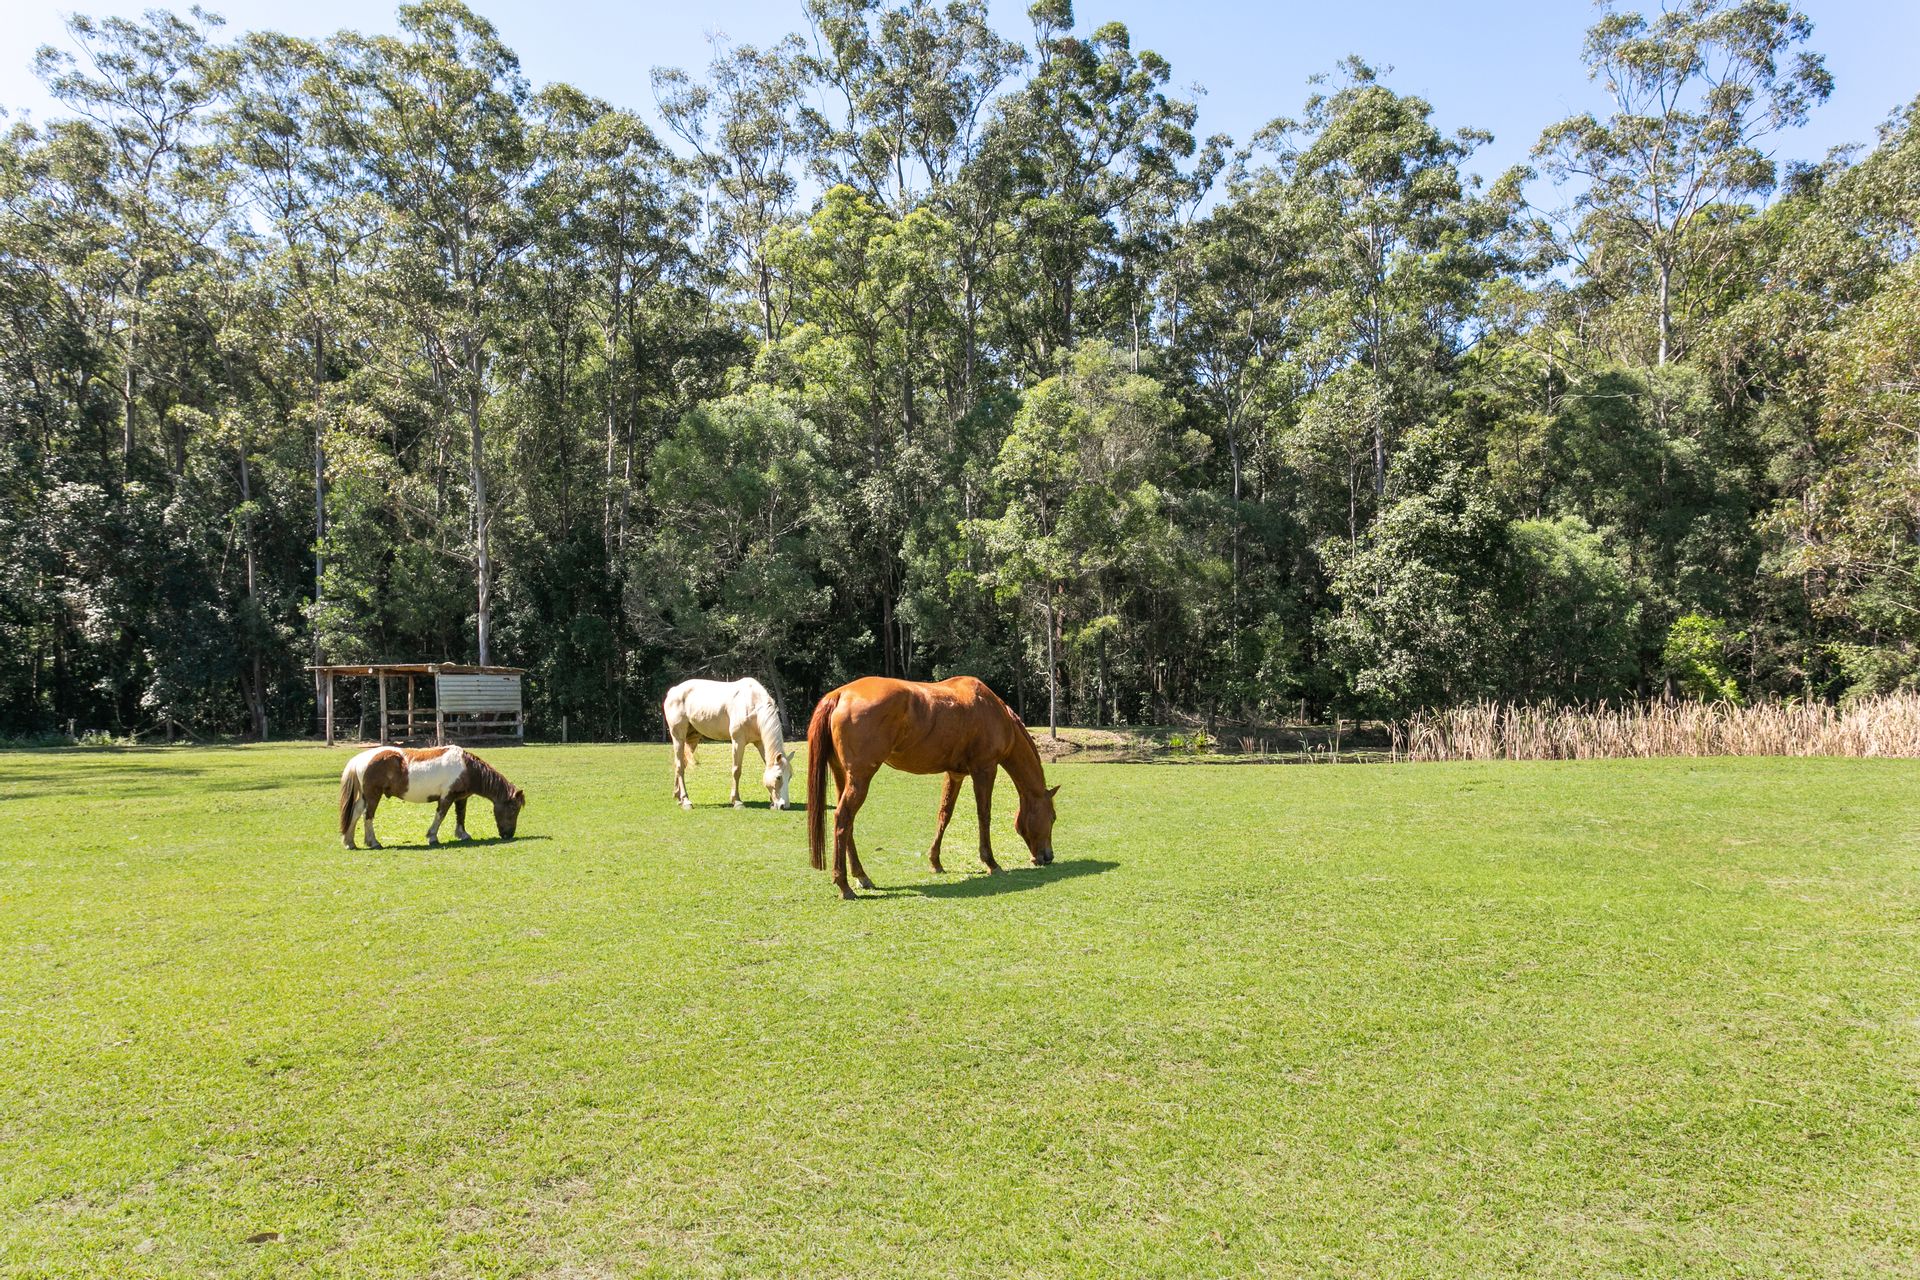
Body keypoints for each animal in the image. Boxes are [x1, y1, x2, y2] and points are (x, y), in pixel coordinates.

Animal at [338, 744, 526, 849]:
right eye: (513, 809)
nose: (509, 834)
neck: (467, 768)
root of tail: (360, 758)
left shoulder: (460, 798)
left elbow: (461, 815)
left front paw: (462, 834)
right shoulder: (447, 797)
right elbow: (440, 816)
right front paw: (432, 837)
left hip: (365, 796)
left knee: (355, 814)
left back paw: (350, 842)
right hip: (373, 795)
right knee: (367, 816)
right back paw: (374, 842)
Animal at [662, 677, 794, 810]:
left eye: (790, 776)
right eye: (778, 777)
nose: (784, 805)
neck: (752, 704)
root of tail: (673, 691)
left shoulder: (760, 742)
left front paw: (772, 802)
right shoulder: (738, 741)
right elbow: (736, 770)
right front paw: (737, 801)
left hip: (692, 738)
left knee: (682, 764)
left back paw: (678, 797)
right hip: (678, 737)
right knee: (679, 766)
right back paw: (686, 801)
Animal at [806, 675, 1059, 899]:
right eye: (1053, 817)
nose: (1048, 857)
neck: (993, 711)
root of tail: (839, 694)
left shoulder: (955, 774)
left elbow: (944, 814)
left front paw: (935, 861)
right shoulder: (985, 769)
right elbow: (984, 815)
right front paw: (991, 863)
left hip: (843, 776)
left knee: (847, 824)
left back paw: (861, 876)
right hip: (860, 779)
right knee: (842, 819)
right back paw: (844, 885)